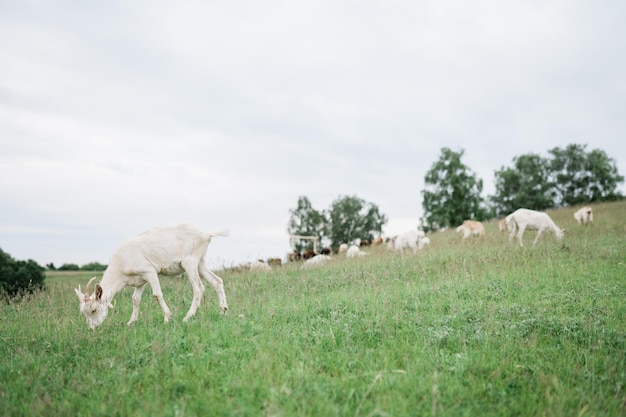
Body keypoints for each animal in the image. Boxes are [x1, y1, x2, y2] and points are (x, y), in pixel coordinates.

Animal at [73, 223, 228, 330]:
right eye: (83, 313)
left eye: (93, 310)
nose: (92, 328)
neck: (120, 266)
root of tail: (206, 234)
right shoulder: (140, 280)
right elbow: (135, 299)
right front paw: (131, 322)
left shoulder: (149, 271)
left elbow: (157, 294)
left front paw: (167, 318)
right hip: (200, 262)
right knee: (217, 281)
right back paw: (223, 311)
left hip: (189, 261)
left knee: (198, 288)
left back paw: (187, 317)